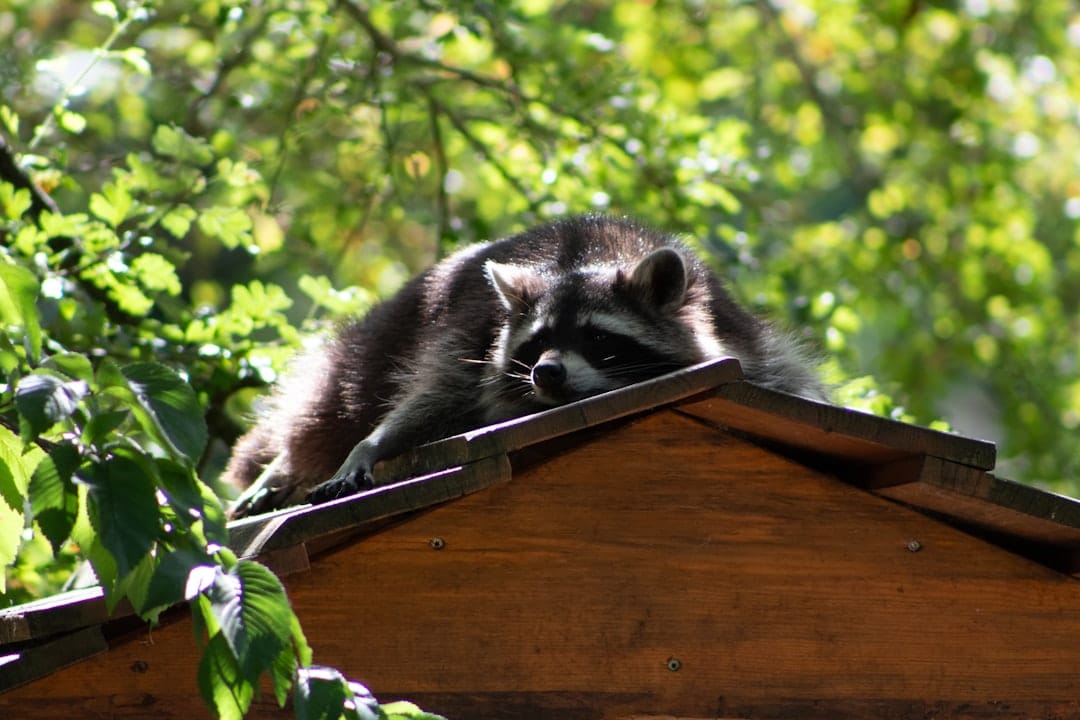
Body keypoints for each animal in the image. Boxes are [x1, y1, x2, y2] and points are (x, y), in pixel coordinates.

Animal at [225, 216, 826, 516]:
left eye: (599, 338)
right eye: (537, 346)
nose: (547, 373)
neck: (586, 259)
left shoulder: (738, 335)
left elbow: (787, 379)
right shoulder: (470, 334)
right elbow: (434, 395)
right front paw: (374, 442)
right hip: (387, 333)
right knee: (334, 402)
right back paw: (289, 462)